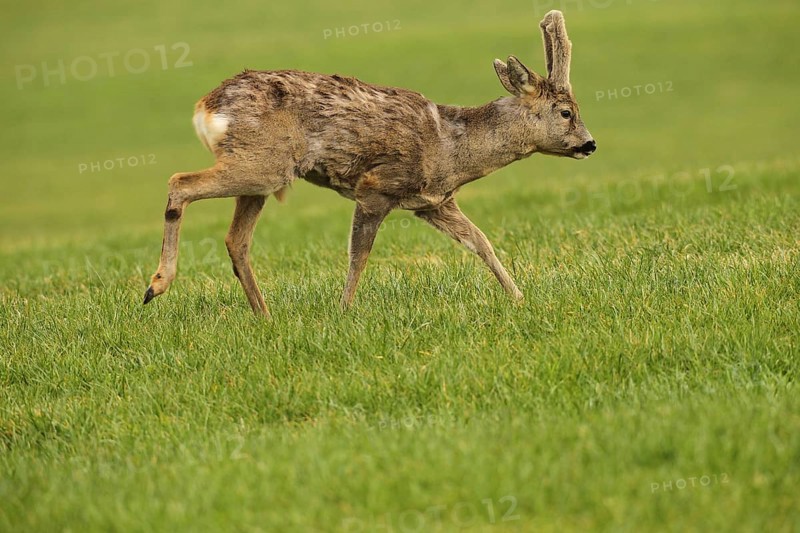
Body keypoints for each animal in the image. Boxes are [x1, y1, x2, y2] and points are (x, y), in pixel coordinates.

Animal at [143, 10, 596, 317]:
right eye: (566, 112)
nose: (589, 144)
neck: (451, 147)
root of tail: (207, 105)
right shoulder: (377, 188)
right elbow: (359, 254)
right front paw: (344, 311)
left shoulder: (434, 202)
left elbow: (480, 241)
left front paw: (519, 298)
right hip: (262, 163)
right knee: (179, 181)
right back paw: (156, 285)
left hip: (263, 175)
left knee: (235, 239)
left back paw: (264, 316)